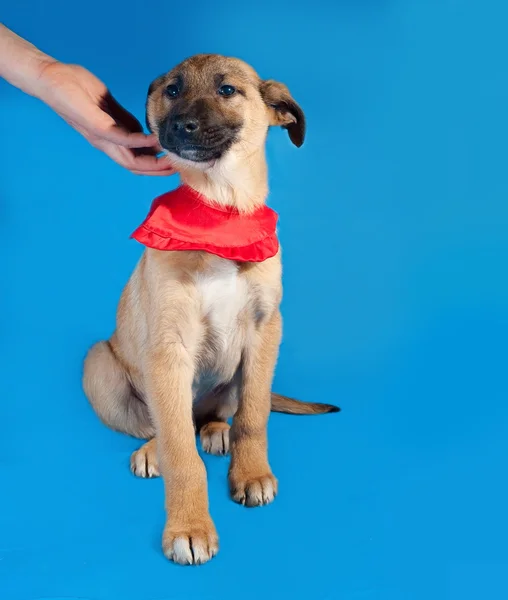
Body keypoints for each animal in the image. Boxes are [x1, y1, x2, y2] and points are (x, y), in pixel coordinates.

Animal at [82, 54, 338, 564]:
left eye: (227, 90)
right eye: (172, 90)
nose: (181, 125)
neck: (221, 214)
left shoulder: (265, 330)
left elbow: (254, 418)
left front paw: (251, 473)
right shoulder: (168, 345)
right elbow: (182, 454)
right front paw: (189, 526)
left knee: (219, 414)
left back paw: (216, 429)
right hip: (98, 363)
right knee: (161, 426)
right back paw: (154, 450)